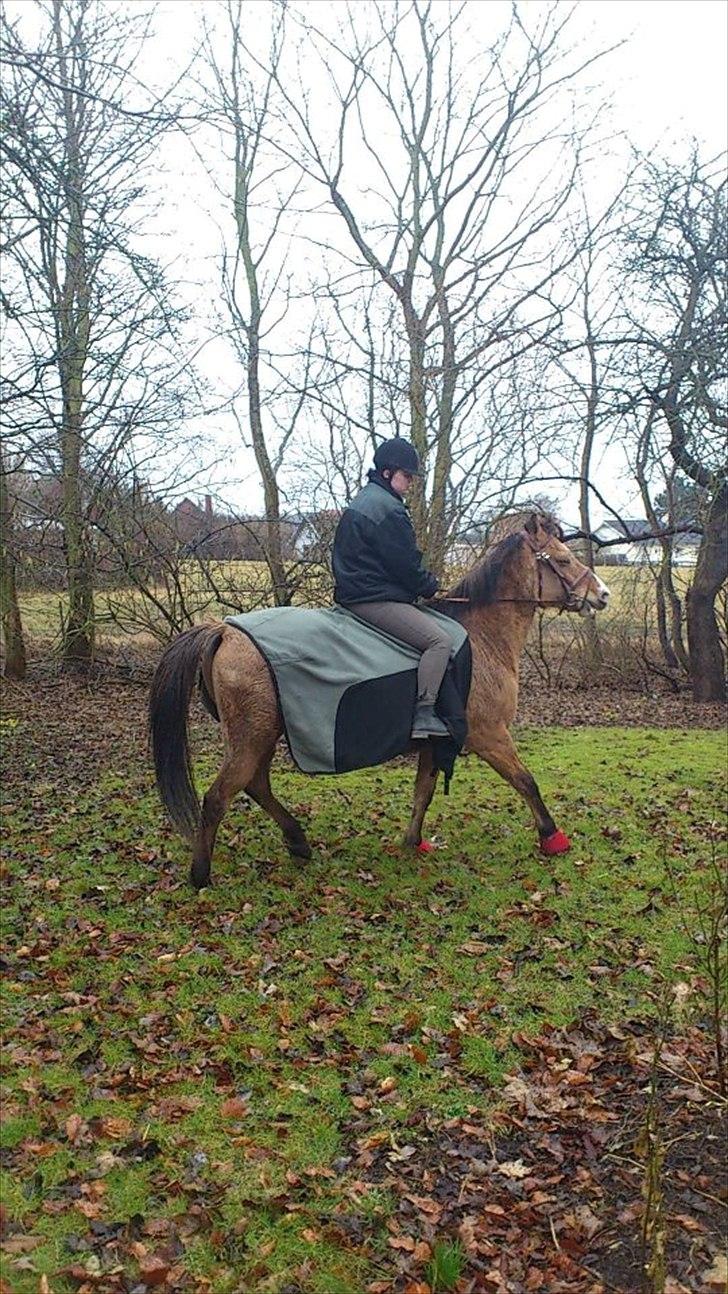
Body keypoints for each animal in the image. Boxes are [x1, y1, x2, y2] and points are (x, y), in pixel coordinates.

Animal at [148, 507, 610, 890]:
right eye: (562, 560)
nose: (602, 594)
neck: (481, 637)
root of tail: (226, 630)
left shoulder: (436, 743)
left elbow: (424, 790)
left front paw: (413, 841)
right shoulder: (489, 735)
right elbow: (526, 781)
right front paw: (552, 837)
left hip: (259, 736)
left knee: (256, 785)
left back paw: (297, 841)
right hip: (251, 737)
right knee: (219, 797)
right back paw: (201, 875)